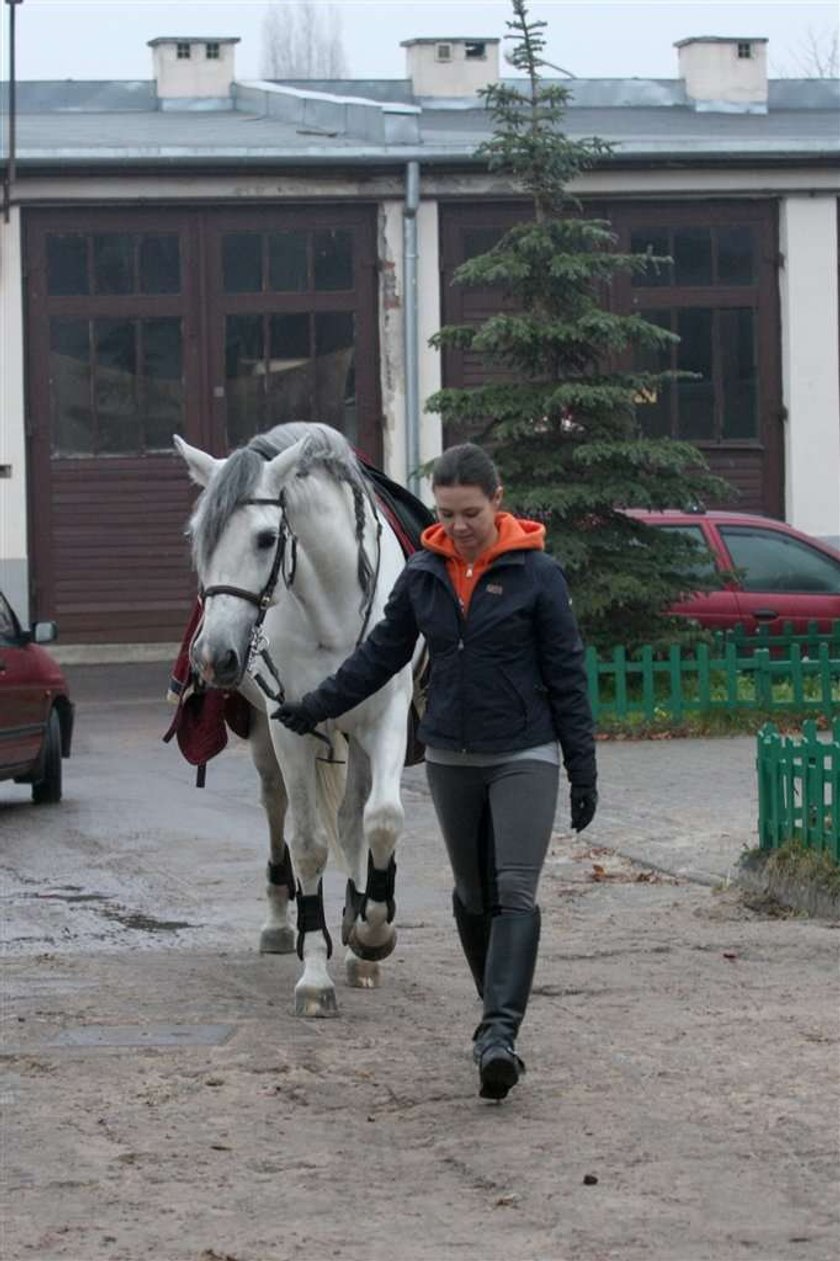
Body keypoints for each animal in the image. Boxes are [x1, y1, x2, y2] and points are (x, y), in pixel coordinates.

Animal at [172, 423, 416, 1013]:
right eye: (198, 537)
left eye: (265, 538)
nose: (213, 656)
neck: (332, 607)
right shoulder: (289, 728)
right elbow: (307, 845)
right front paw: (314, 972)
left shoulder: (386, 718)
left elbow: (382, 819)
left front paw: (372, 933)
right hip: (266, 740)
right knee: (276, 807)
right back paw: (283, 924)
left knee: (353, 818)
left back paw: (357, 931)